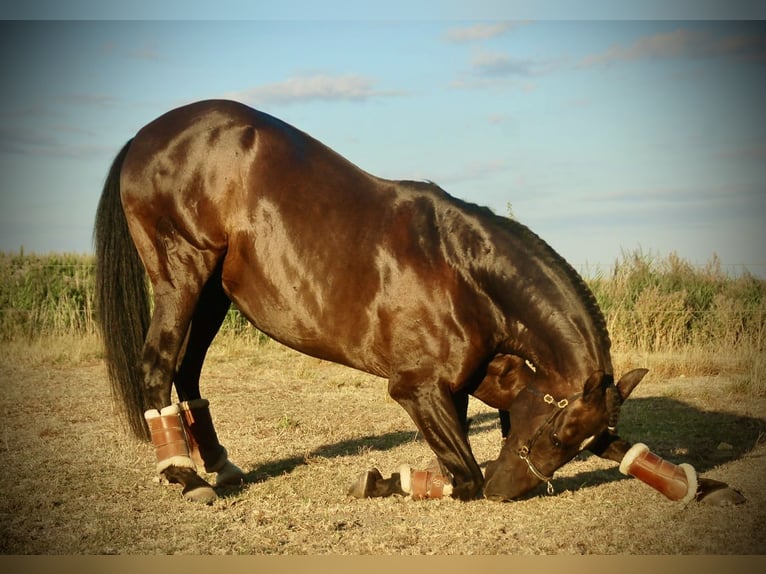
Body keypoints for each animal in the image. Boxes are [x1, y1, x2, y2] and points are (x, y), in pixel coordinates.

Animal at [94, 99, 647, 503]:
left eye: (580, 444)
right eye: (558, 435)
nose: (505, 492)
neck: (464, 274)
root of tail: (146, 134)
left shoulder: (469, 383)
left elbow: (461, 460)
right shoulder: (415, 388)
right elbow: (464, 474)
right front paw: (394, 482)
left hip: (213, 294)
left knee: (186, 371)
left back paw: (219, 465)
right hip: (182, 275)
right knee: (157, 365)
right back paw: (185, 477)